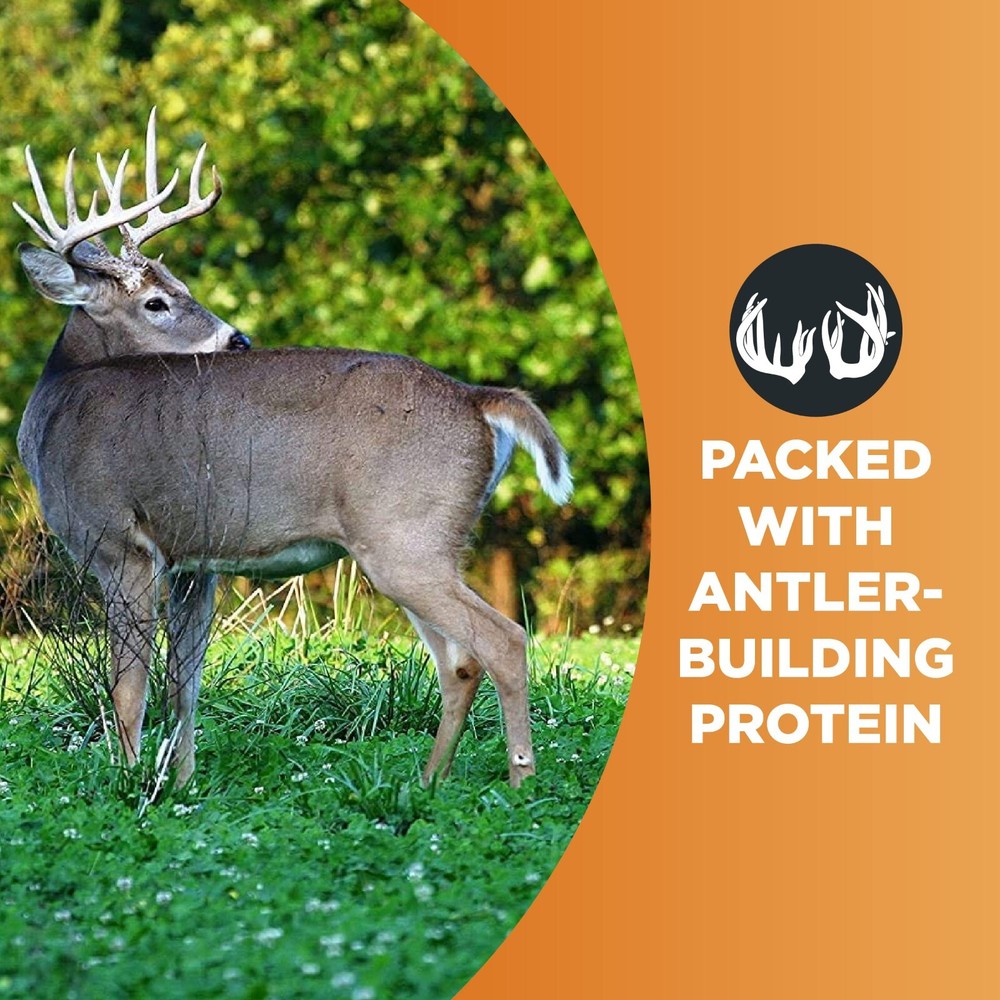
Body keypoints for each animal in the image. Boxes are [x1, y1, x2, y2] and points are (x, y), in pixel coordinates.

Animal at [14, 110, 571, 790]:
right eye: (157, 299)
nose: (238, 340)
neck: (57, 405)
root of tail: (475, 399)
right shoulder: (195, 560)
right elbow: (183, 684)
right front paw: (182, 785)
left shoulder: (120, 541)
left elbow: (128, 688)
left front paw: (130, 785)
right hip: (420, 542)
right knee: (458, 662)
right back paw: (428, 783)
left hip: (404, 536)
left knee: (504, 641)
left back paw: (520, 782)